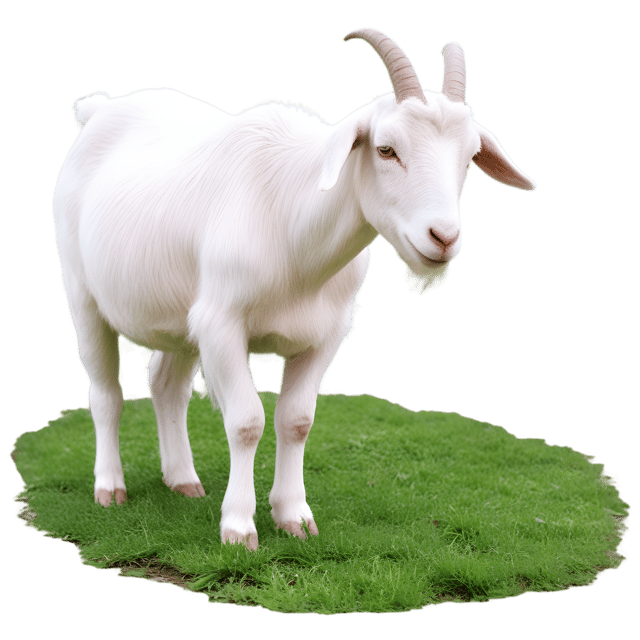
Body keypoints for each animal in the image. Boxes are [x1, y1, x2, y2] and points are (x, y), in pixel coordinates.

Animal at [52, 28, 536, 551]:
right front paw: (239, 528)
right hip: (82, 295)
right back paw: (110, 487)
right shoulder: (221, 324)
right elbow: (246, 421)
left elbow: (296, 420)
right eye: (386, 149)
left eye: (469, 157)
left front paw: (294, 517)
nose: (443, 237)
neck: (289, 224)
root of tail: (99, 110)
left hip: (179, 318)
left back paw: (182, 479)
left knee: (166, 385)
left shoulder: (326, 333)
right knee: (106, 394)